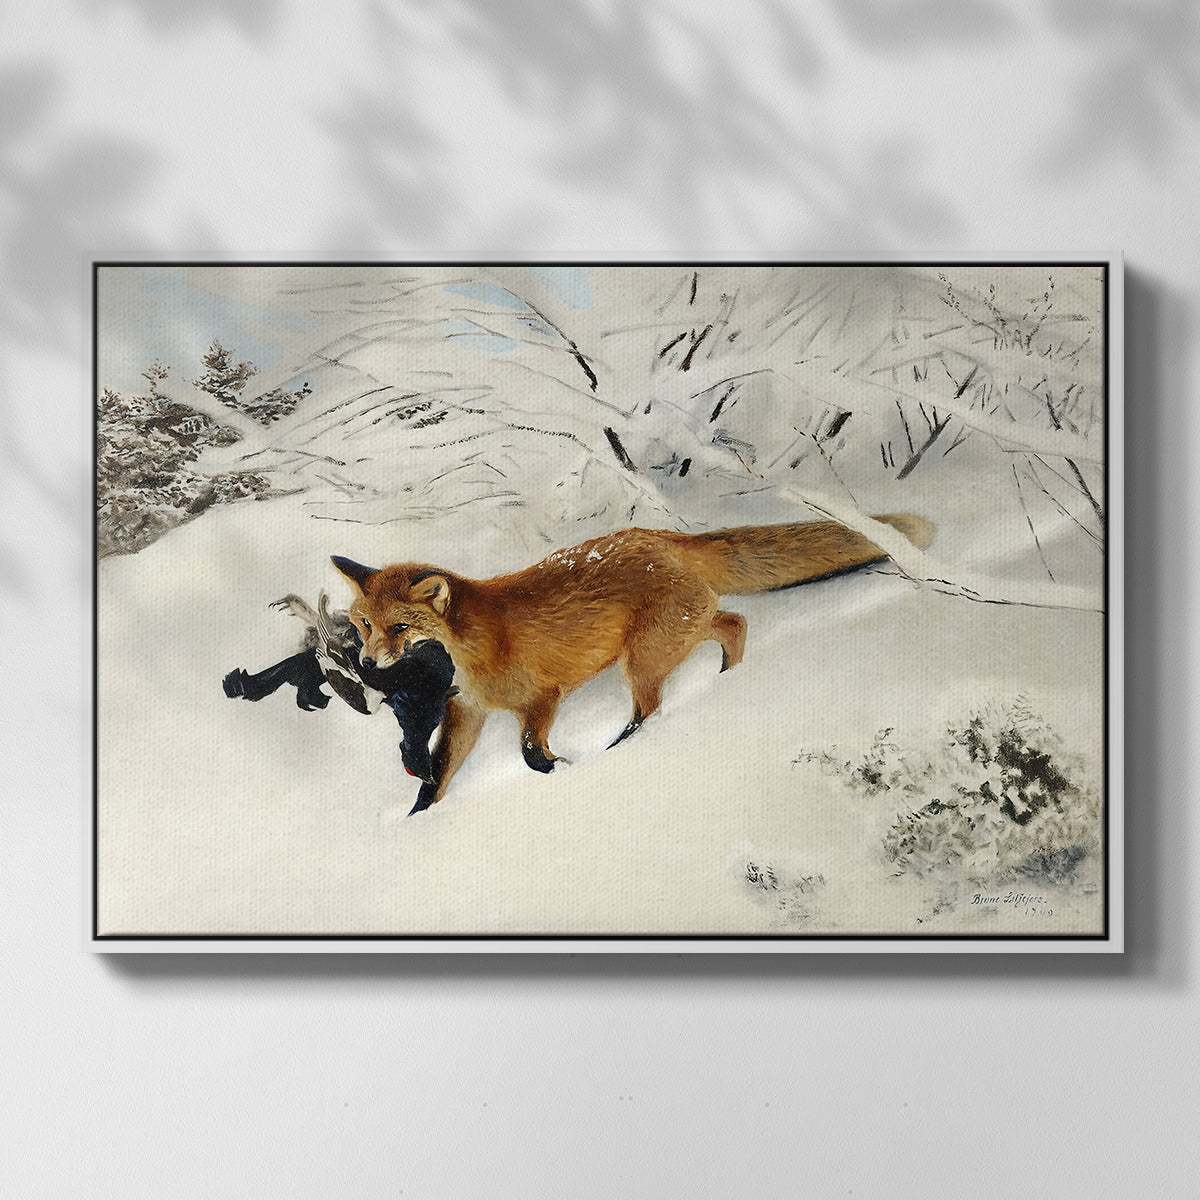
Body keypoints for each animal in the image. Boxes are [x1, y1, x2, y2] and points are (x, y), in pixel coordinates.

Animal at [332, 513, 934, 814]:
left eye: (399, 628)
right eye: (364, 624)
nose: (367, 663)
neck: (475, 649)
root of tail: (659, 536)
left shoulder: (542, 698)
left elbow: (530, 754)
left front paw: (565, 770)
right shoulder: (468, 712)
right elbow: (437, 777)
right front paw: (418, 820)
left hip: (642, 660)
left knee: (653, 707)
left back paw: (625, 747)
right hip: (677, 635)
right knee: (734, 623)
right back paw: (728, 679)